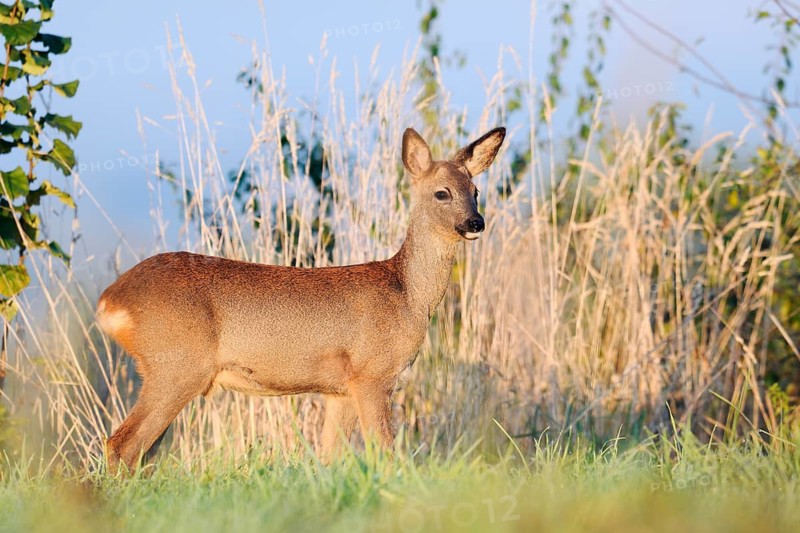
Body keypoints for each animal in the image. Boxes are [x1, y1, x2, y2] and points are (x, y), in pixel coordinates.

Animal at [96, 126, 505, 472]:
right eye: (442, 192)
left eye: (476, 192)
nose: (476, 222)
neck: (407, 295)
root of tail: (110, 300)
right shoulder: (371, 374)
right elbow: (385, 453)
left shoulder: (339, 389)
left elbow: (328, 458)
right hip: (177, 365)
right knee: (122, 444)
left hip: (165, 370)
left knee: (139, 450)